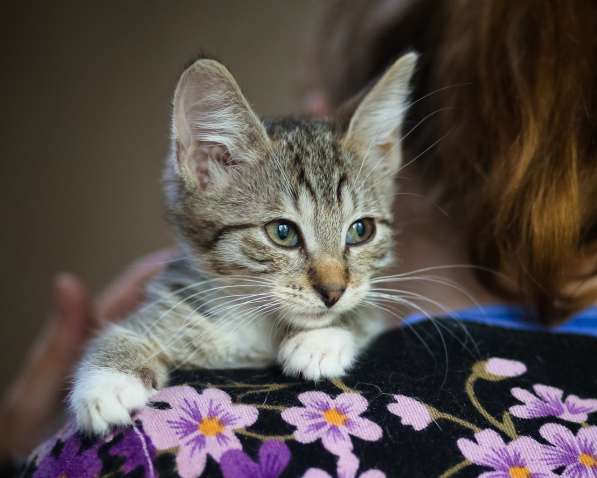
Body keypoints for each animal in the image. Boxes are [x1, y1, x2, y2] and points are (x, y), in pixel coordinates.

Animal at [70, 51, 416, 434]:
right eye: (282, 232)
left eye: (361, 231)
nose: (333, 292)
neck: (255, 325)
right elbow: (128, 330)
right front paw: (108, 381)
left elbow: (367, 310)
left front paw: (321, 340)